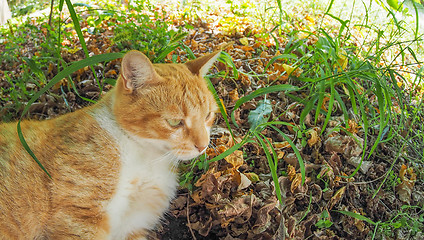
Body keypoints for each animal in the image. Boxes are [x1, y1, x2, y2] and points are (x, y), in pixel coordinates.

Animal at [0, 49, 219, 239]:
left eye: (208, 115)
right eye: (174, 122)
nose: (203, 145)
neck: (146, 157)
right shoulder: (80, 219)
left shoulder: (133, 225)